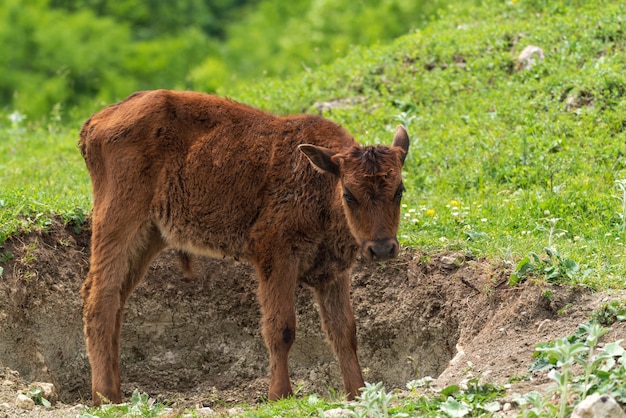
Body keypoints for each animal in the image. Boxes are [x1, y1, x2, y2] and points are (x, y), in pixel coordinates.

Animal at [78, 90, 410, 404]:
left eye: (399, 190)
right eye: (349, 193)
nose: (382, 249)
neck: (321, 179)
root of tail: (95, 121)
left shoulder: (333, 272)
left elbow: (344, 332)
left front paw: (358, 392)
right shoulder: (276, 256)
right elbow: (281, 328)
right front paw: (280, 394)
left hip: (148, 238)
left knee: (117, 300)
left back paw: (113, 393)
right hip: (118, 222)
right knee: (100, 297)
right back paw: (106, 396)